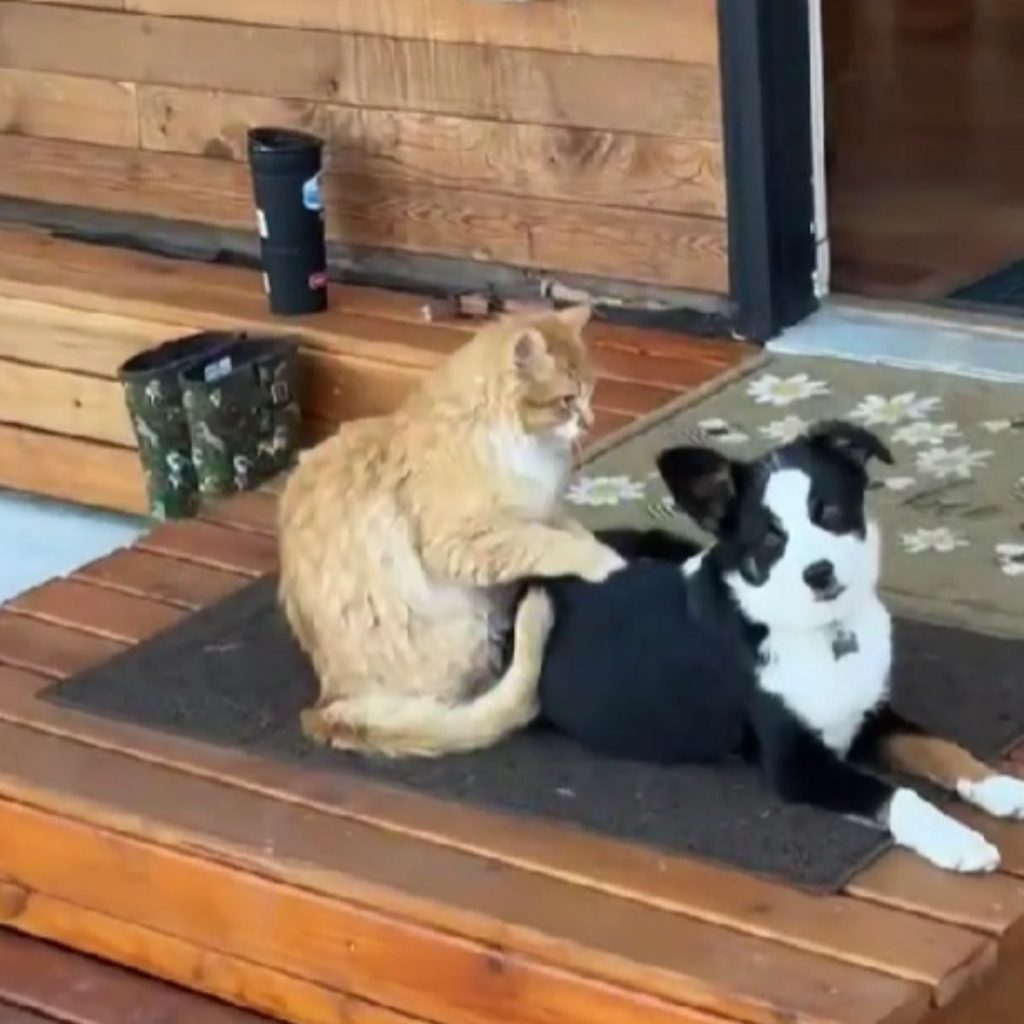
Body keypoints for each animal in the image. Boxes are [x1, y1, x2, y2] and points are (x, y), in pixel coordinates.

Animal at [276, 307, 618, 757]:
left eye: (592, 392)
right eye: (567, 401)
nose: (591, 421)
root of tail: (331, 702)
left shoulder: (540, 510)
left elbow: (566, 528)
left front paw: (593, 541)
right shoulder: (469, 540)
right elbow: (548, 543)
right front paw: (606, 562)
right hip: (471, 626)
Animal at [536, 417, 1024, 872]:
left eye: (828, 511)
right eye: (771, 537)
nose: (819, 573)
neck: (821, 631)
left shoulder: (868, 713)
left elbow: (940, 745)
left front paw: (1002, 786)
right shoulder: (795, 762)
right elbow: (895, 794)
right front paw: (957, 841)